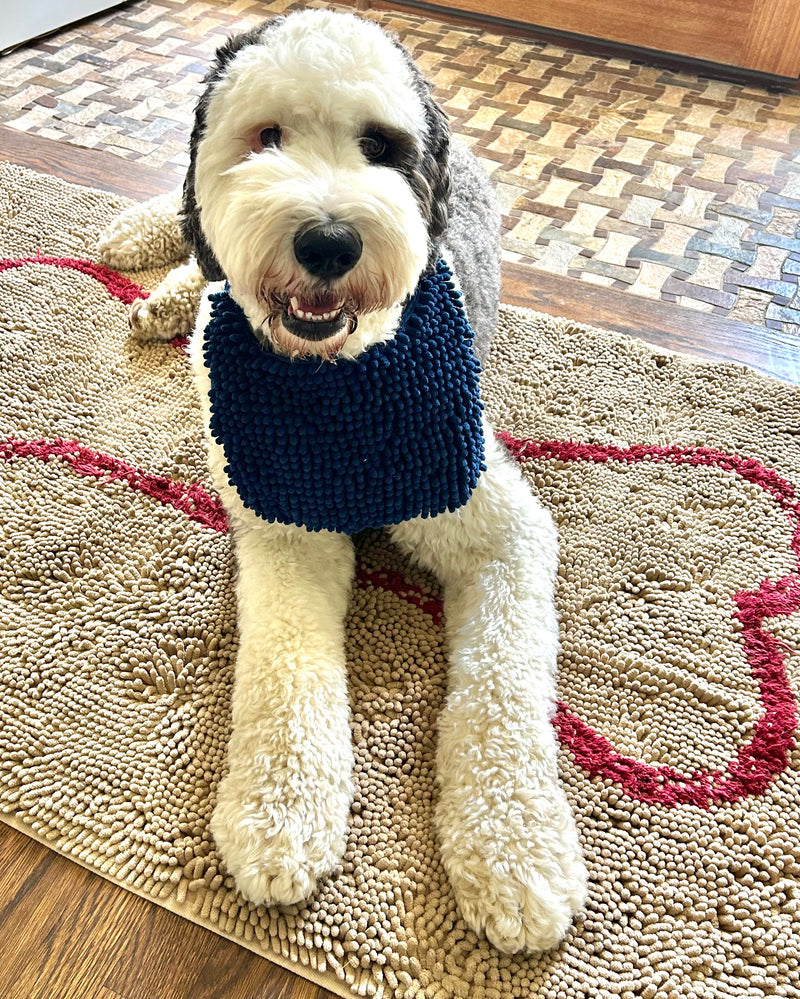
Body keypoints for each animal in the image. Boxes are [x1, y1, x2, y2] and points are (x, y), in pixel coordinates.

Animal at [100, 9, 588, 960]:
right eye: (267, 138)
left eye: (380, 147)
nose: (328, 241)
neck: (339, 382)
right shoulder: (285, 528)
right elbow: (286, 678)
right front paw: (280, 816)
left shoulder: (499, 530)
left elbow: (504, 691)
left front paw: (515, 851)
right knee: (195, 240)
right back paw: (154, 270)